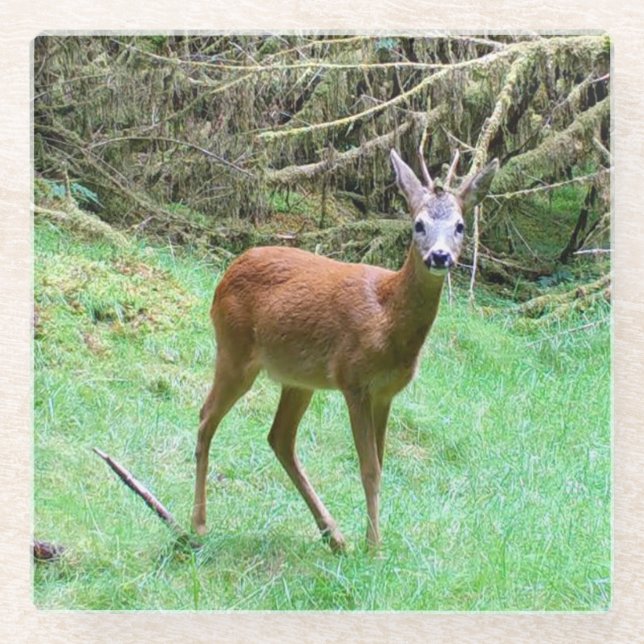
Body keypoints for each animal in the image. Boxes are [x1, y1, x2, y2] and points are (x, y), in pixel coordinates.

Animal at [192, 146, 498, 552]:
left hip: (298, 379)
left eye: (460, 226)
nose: (439, 256)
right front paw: (375, 548)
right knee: (206, 417)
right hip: (234, 350)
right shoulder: (354, 381)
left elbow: (380, 464)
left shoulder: (385, 394)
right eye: (418, 224)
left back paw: (333, 535)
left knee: (279, 438)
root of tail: (227, 273)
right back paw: (198, 525)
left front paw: (369, 542)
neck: (387, 319)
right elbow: (369, 468)